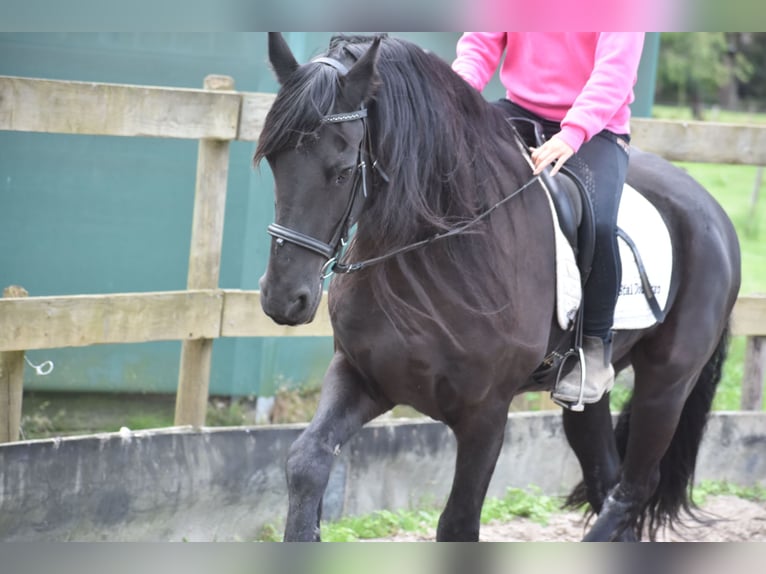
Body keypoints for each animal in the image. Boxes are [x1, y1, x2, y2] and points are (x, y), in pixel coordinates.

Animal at [256, 32, 744, 544]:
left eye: (344, 169)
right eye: (272, 160)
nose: (283, 297)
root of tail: (710, 208)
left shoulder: (485, 415)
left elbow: (458, 523)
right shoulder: (361, 374)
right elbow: (307, 462)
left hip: (667, 383)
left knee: (636, 484)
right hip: (587, 398)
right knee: (605, 475)